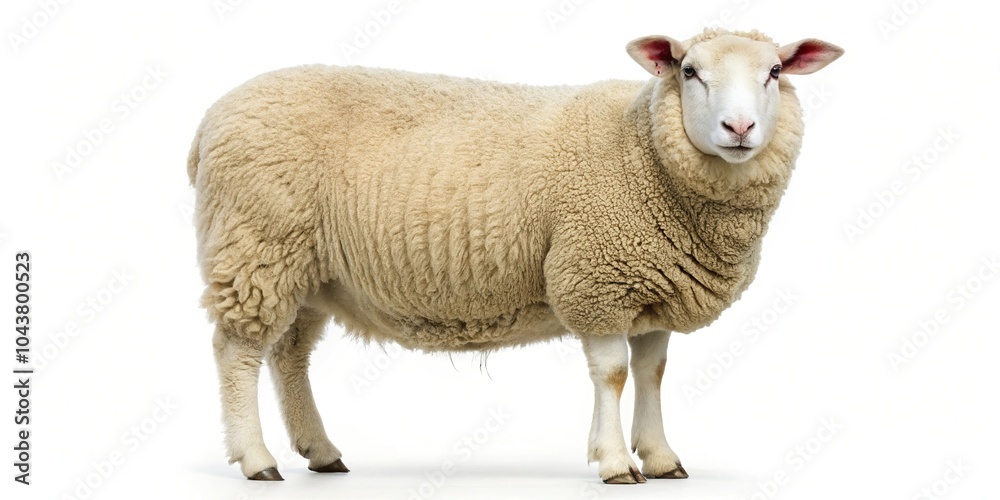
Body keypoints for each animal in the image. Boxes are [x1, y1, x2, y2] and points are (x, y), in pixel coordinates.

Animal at [189, 28, 843, 483]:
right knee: (238, 351)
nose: (740, 128)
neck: (643, 151)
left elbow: (652, 373)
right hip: (256, 242)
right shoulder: (595, 277)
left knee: (289, 356)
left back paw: (320, 451)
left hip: (306, 267)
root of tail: (210, 121)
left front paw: (660, 458)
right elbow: (612, 373)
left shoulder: (652, 287)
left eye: (775, 71)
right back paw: (256, 458)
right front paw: (614, 462)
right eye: (688, 71)